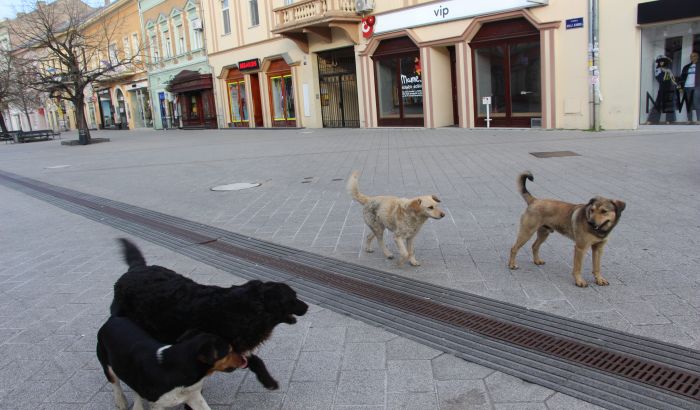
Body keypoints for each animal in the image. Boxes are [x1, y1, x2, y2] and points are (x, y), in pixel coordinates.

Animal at [95, 316, 243, 408]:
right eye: (229, 350)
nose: (244, 359)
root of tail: (112, 319)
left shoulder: (194, 396)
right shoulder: (157, 404)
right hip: (106, 364)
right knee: (115, 383)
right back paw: (121, 402)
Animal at [110, 239, 308, 390]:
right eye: (293, 298)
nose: (307, 307)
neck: (248, 308)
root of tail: (134, 270)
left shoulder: (234, 344)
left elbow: (254, 360)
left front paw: (267, 380)